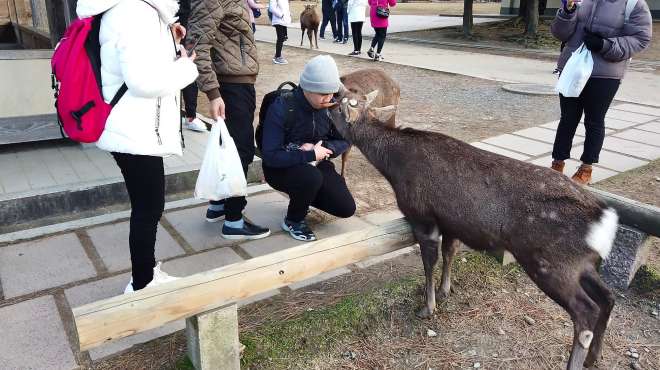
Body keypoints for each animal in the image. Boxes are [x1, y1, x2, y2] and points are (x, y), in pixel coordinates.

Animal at [328, 89, 620, 370]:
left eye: (340, 106)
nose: (331, 100)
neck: (394, 167)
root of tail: (604, 221)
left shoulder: (422, 217)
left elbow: (429, 262)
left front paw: (428, 306)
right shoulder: (451, 223)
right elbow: (450, 253)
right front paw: (445, 291)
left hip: (549, 262)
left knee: (585, 312)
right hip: (581, 263)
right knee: (608, 296)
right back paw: (594, 358)